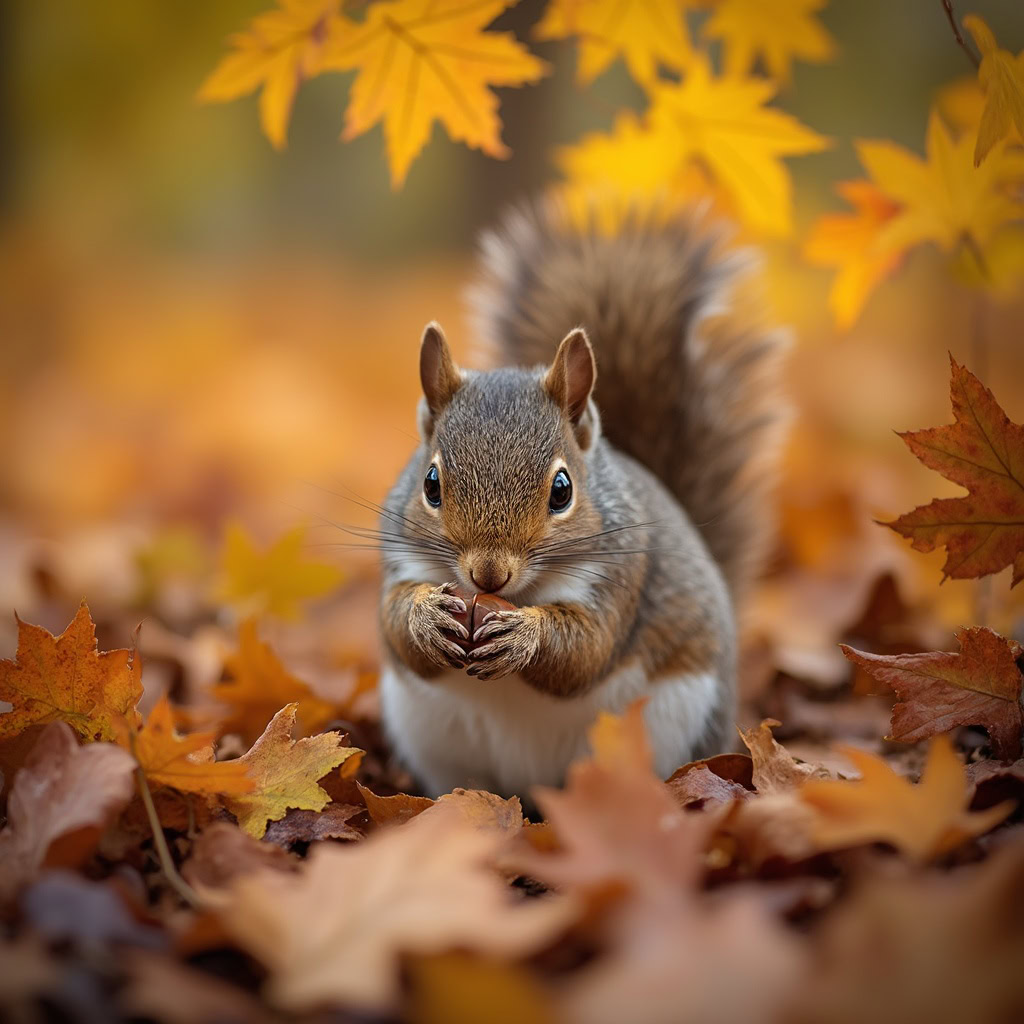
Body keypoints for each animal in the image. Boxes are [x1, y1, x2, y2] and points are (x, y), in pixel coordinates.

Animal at [377, 202, 785, 798]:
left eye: (563, 490)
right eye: (430, 484)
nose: (487, 575)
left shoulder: (620, 577)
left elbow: (585, 652)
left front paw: (524, 636)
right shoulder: (399, 559)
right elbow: (394, 622)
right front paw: (425, 617)